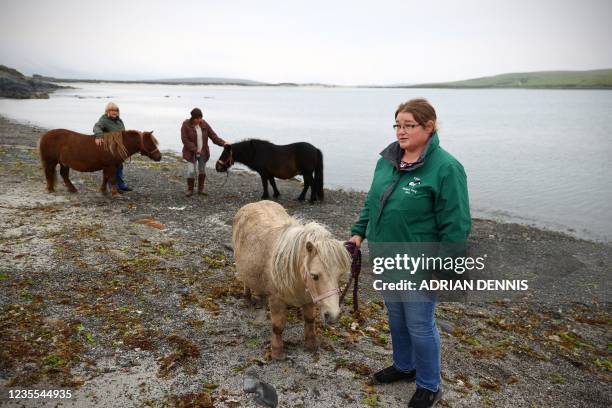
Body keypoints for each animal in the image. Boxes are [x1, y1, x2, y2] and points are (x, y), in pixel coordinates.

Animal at [233, 202, 352, 360]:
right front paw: (277, 351)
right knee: (246, 282)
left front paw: (311, 344)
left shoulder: (309, 298)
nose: (333, 315)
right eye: (314, 276)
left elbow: (309, 320)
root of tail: (252, 204)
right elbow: (278, 326)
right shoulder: (277, 299)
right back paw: (247, 298)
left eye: (339, 276)